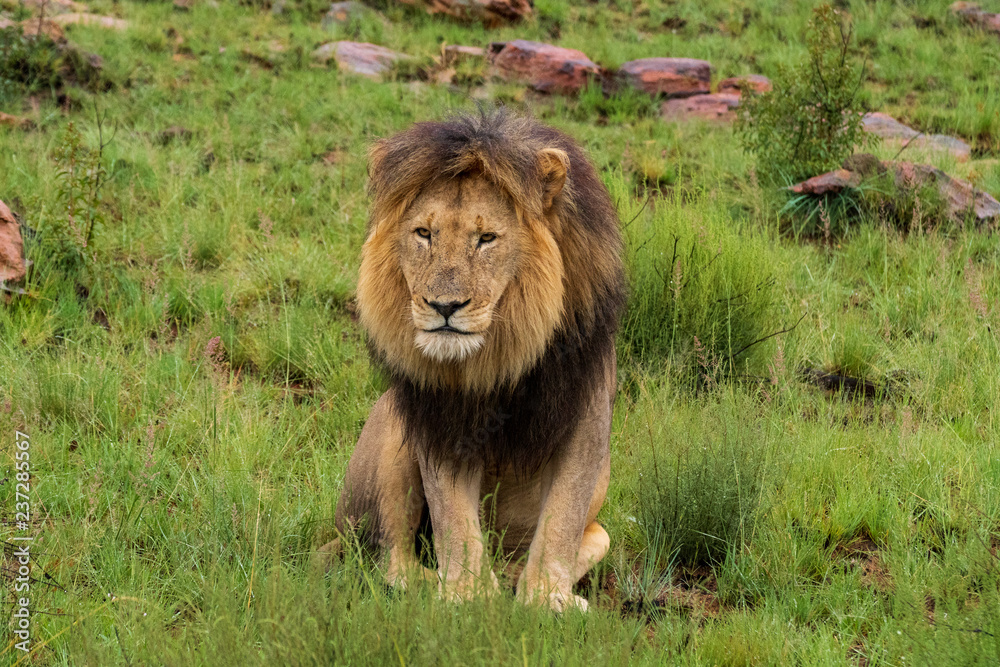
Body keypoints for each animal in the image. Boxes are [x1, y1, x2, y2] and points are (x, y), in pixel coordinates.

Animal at [331, 110, 626, 612]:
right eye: (424, 233)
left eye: (486, 238)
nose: (443, 306)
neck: (503, 356)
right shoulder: (441, 421)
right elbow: (454, 516)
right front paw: (466, 595)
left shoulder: (585, 418)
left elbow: (562, 516)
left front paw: (546, 597)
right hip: (392, 427)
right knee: (387, 558)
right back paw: (428, 583)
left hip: (600, 531)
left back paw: (510, 575)